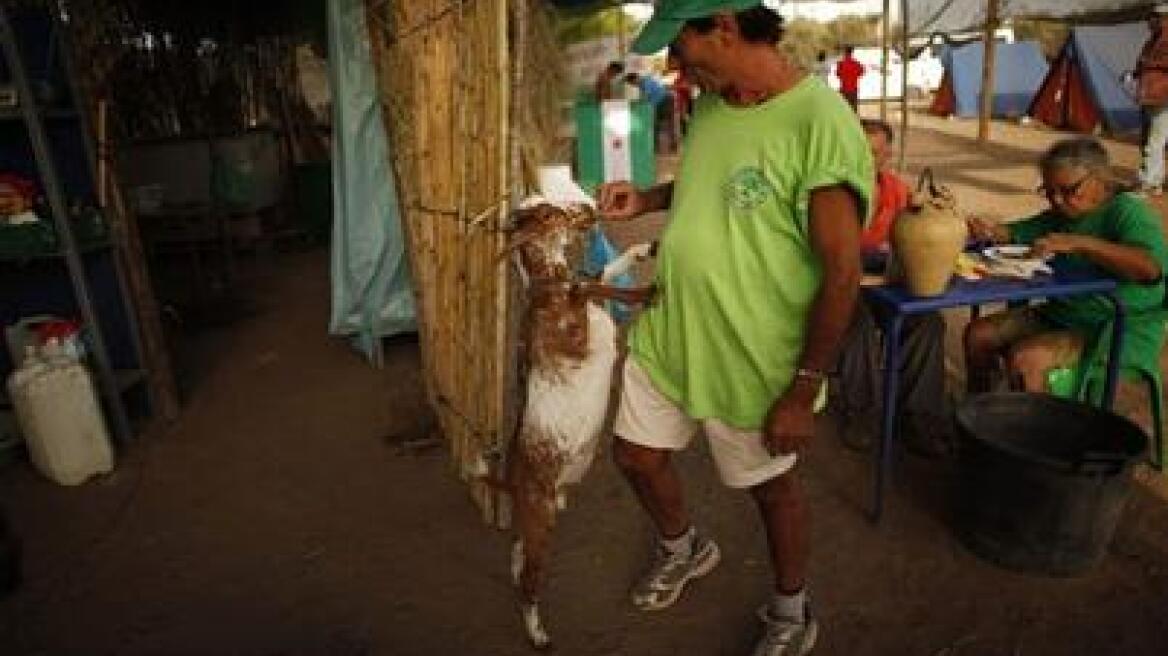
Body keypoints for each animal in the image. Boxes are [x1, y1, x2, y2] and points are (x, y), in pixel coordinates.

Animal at [499, 201, 654, 644]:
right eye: (550, 215)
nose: (589, 207)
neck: (549, 285)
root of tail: (511, 481)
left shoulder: (589, 301)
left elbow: (601, 275)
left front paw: (640, 251)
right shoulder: (575, 336)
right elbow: (589, 287)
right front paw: (648, 293)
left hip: (532, 522)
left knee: (517, 551)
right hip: (542, 523)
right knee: (530, 582)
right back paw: (537, 634)